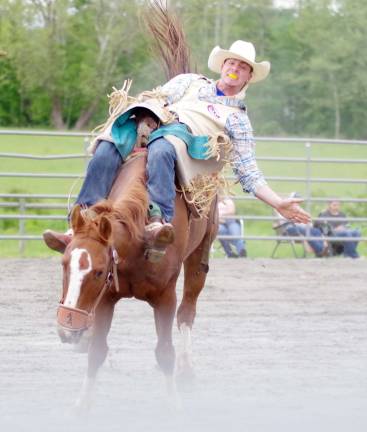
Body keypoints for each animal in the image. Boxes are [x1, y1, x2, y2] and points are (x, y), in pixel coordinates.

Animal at [56, 152, 218, 408]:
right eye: (63, 264)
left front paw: (175, 406)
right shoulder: (106, 298)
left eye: (99, 272)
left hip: (200, 252)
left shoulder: (165, 298)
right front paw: (81, 407)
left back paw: (186, 370)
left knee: (186, 312)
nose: (67, 330)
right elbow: (97, 352)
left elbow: (165, 352)